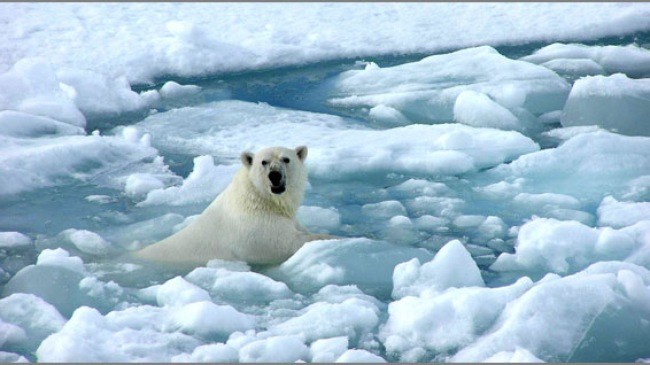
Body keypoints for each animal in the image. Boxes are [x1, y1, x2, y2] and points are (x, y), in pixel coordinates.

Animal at [133, 144, 334, 264]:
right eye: (264, 162)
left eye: (286, 159)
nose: (275, 175)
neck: (259, 199)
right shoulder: (255, 229)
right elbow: (287, 243)